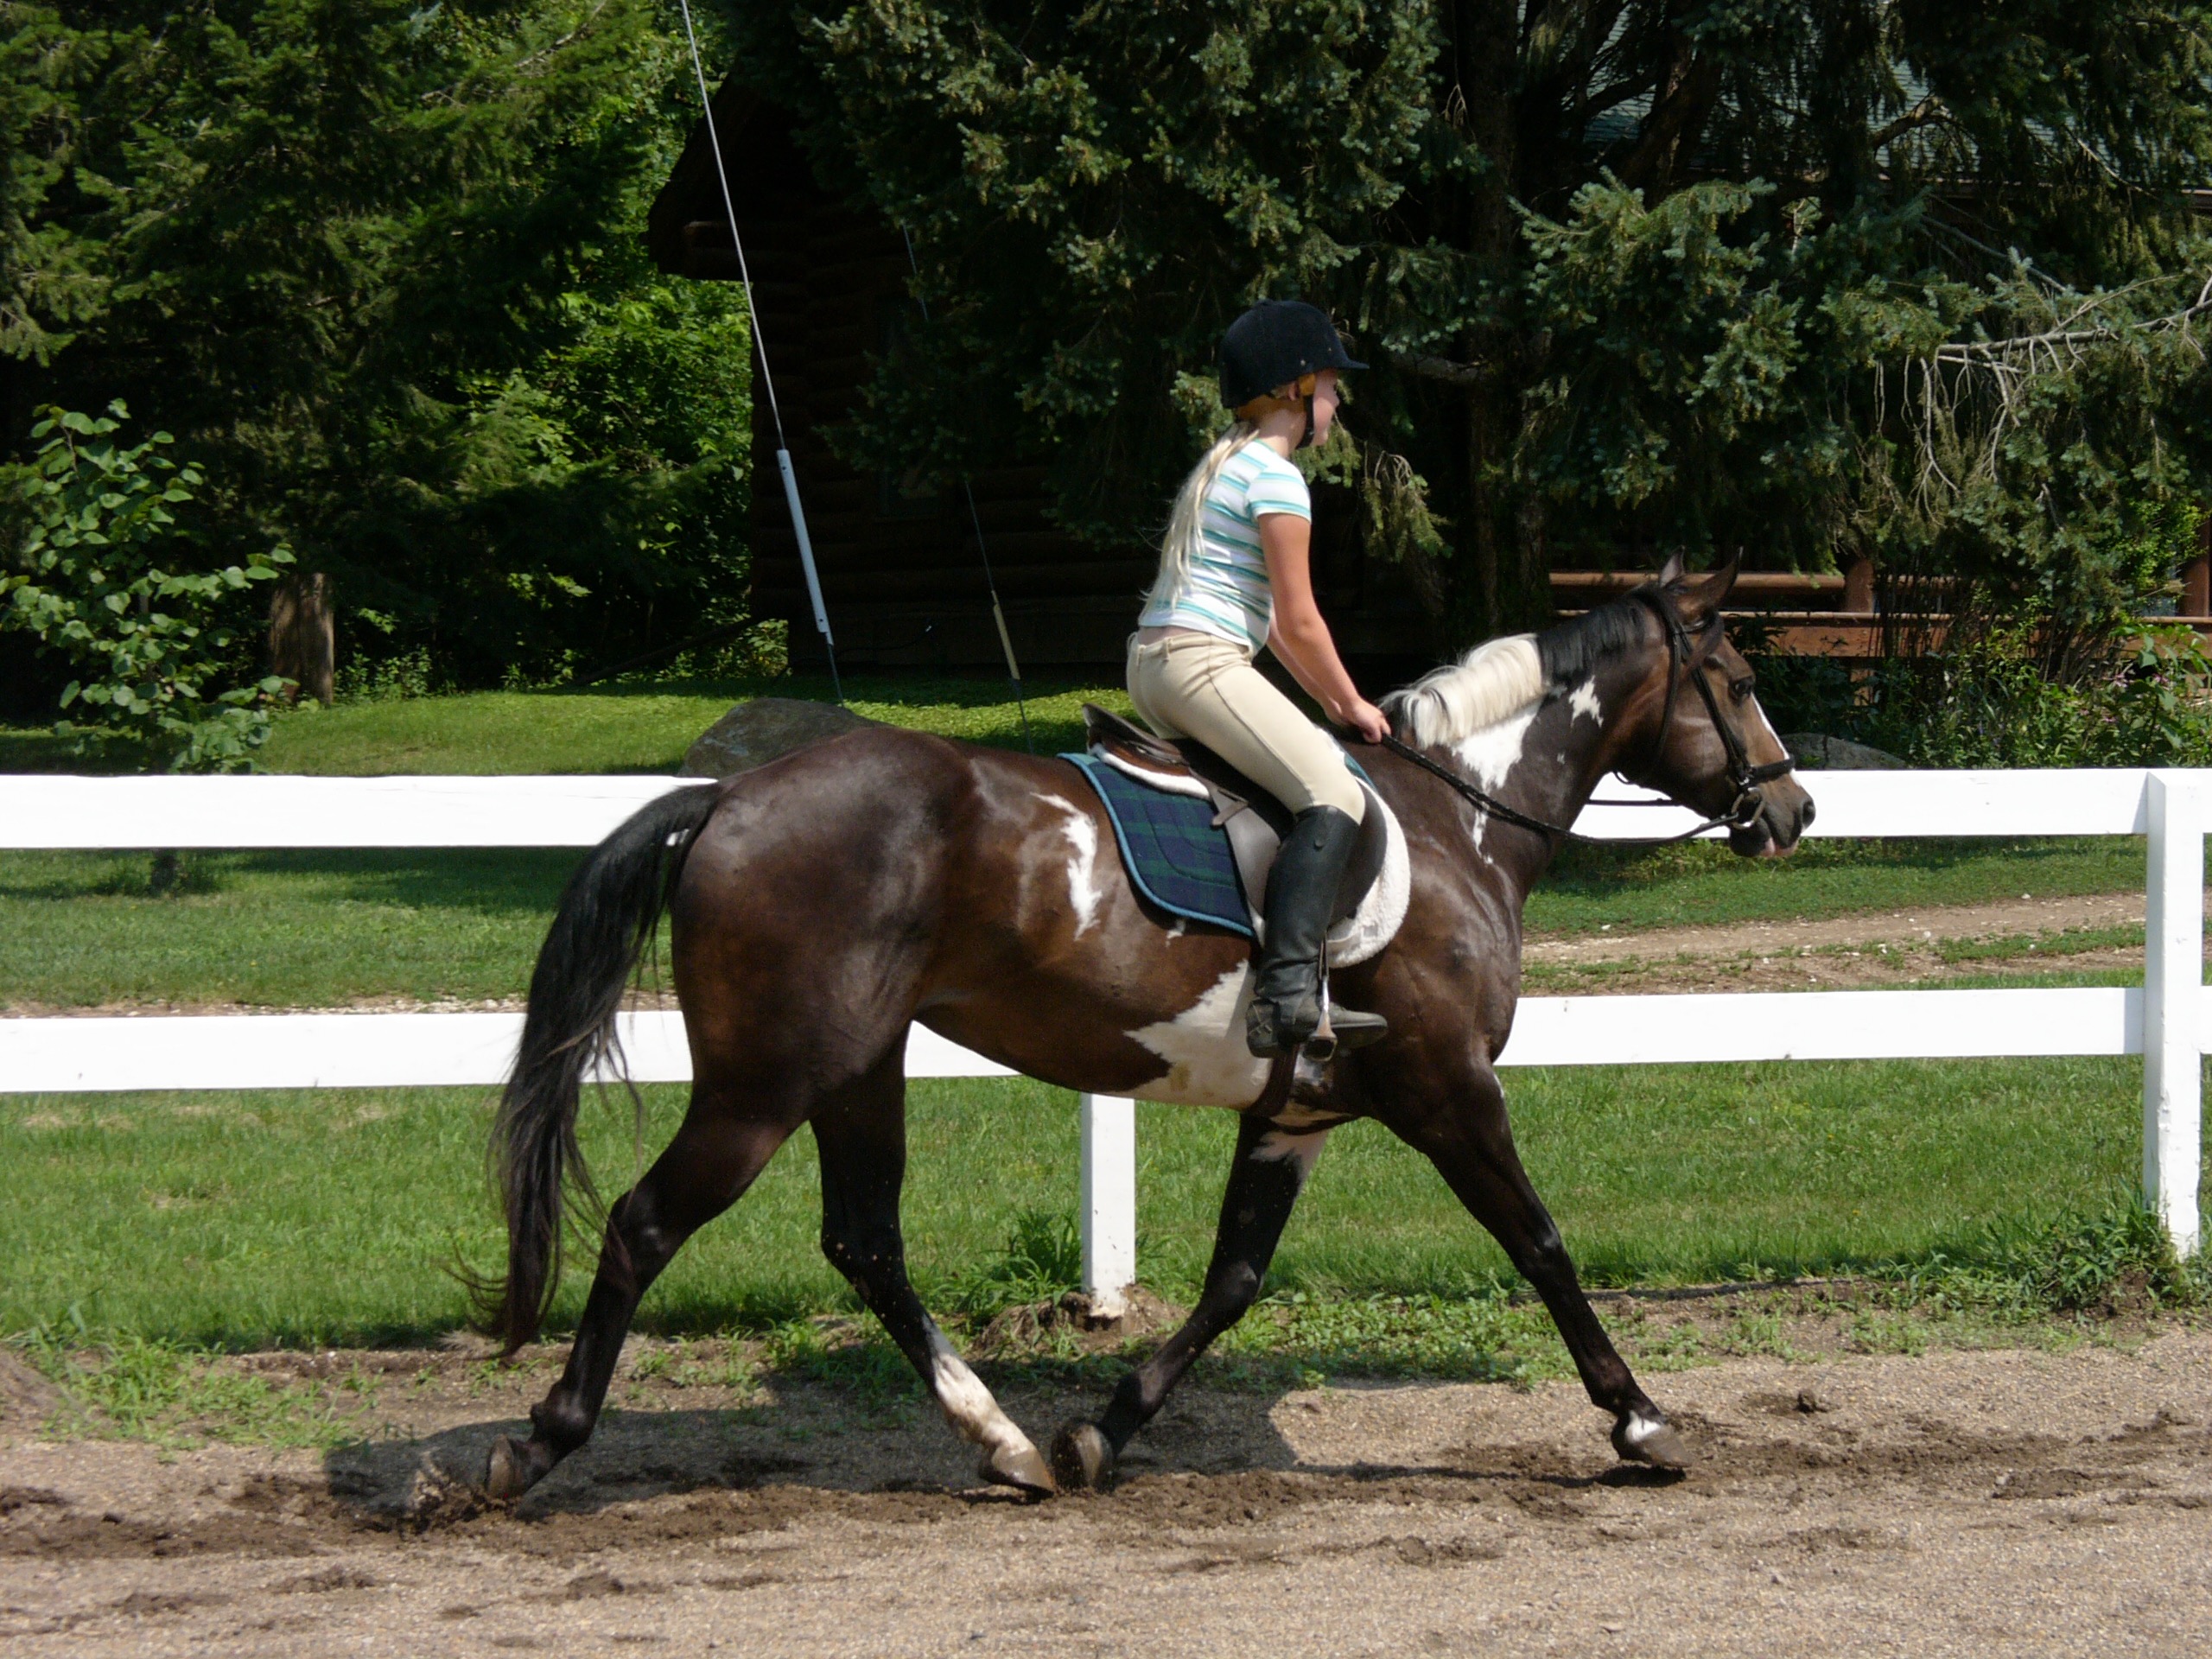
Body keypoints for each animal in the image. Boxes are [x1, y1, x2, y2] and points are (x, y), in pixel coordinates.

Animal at [477, 558, 1813, 1502]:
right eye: (1743, 685)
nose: (1794, 810)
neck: (1457, 823)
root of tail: (728, 796)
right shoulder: (1448, 1090)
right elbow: (1540, 1243)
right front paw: (1638, 1419)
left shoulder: (1296, 1114)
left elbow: (1232, 1282)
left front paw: (1098, 1436)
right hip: (763, 1084)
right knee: (648, 1226)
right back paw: (533, 1450)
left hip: (857, 1067)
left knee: (864, 1243)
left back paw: (1005, 1445)